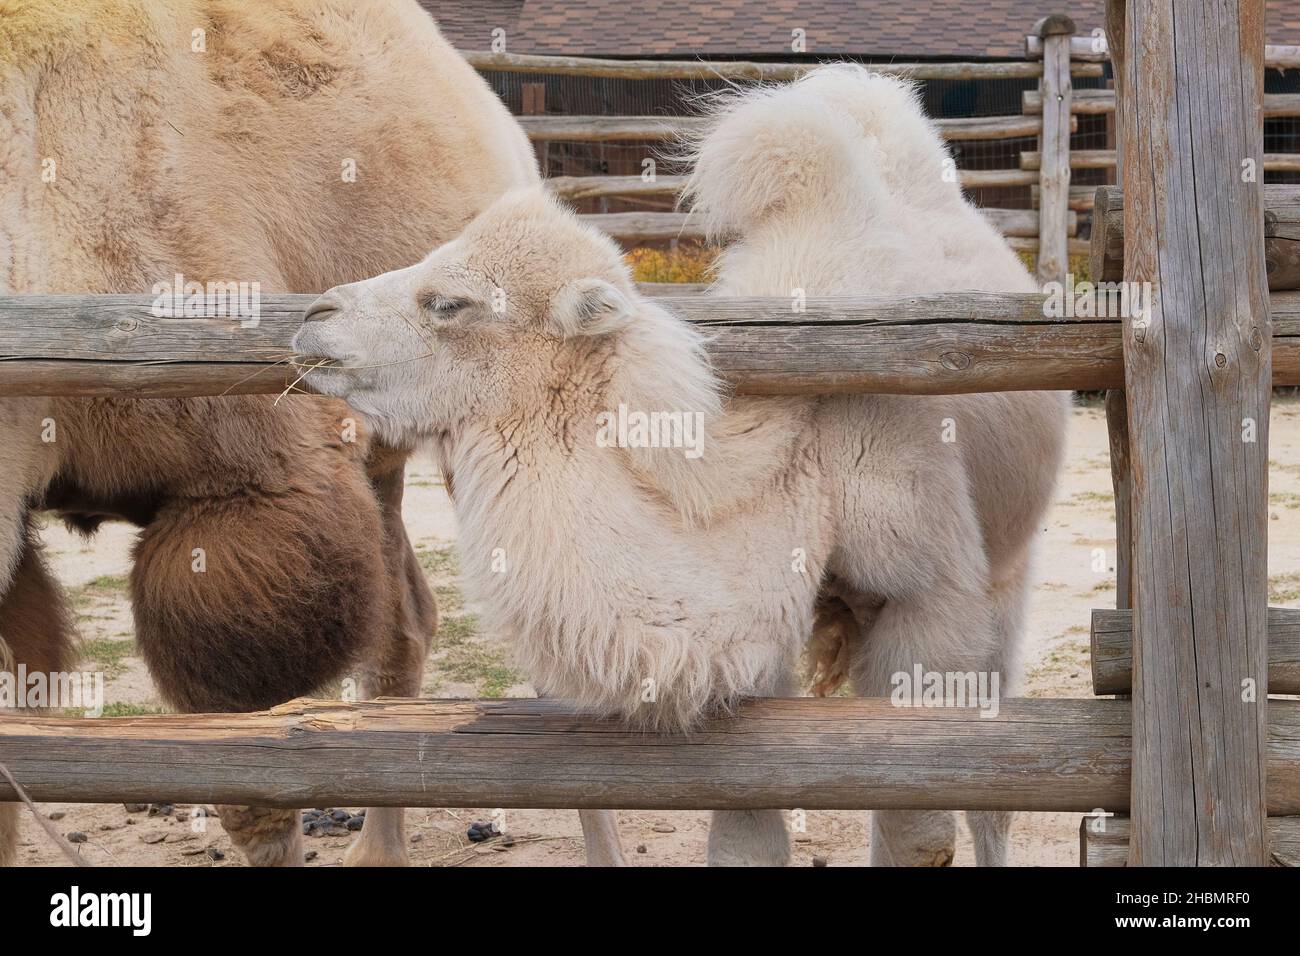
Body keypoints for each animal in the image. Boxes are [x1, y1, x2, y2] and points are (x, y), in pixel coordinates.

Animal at [292, 65, 1069, 866]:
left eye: (449, 302)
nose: (314, 316)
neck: (801, 466)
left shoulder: (930, 597)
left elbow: (920, 824)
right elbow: (747, 831)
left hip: (1006, 569)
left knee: (993, 793)